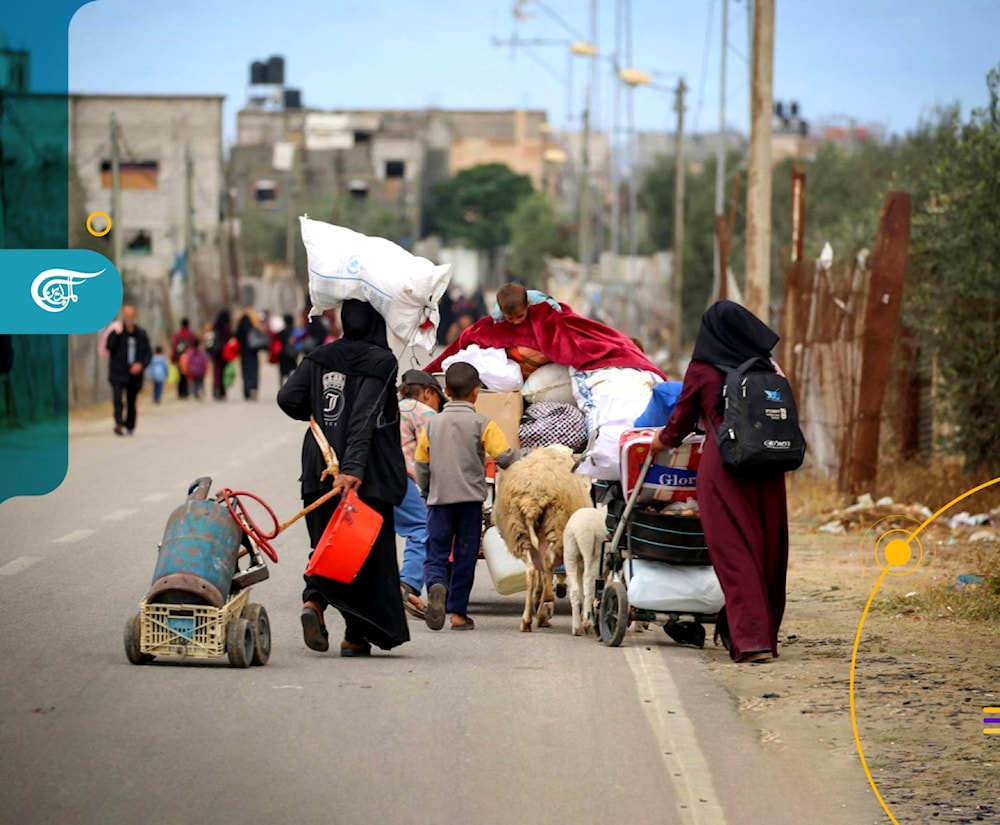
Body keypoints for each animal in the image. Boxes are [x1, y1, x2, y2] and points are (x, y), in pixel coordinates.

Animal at [492, 444, 592, 632]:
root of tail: (531, 499)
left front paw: (538, 600)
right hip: (556, 526)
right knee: (547, 563)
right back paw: (546, 603)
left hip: (519, 531)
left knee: (532, 570)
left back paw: (527, 620)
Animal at [564, 506, 608, 636]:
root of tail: (582, 530)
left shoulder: (580, 567)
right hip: (597, 555)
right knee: (588, 583)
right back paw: (587, 623)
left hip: (570, 553)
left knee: (575, 589)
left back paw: (577, 627)